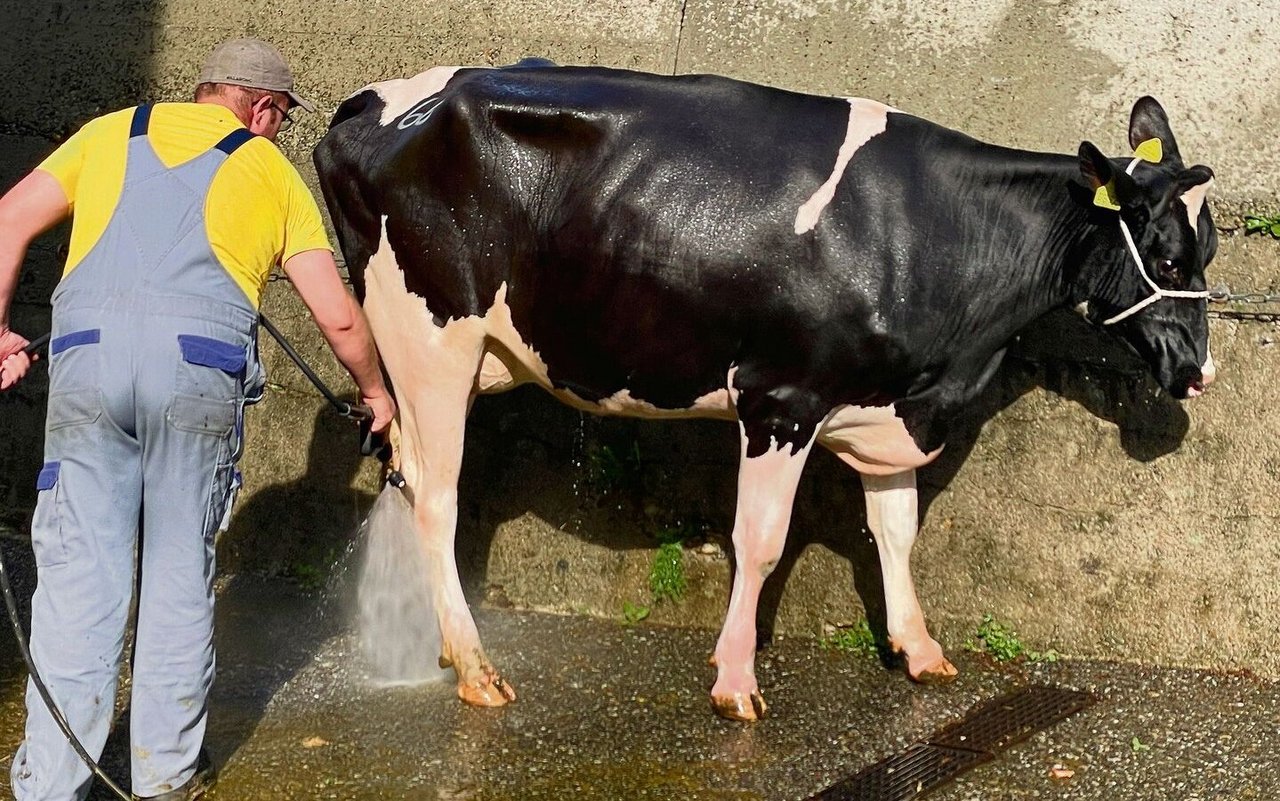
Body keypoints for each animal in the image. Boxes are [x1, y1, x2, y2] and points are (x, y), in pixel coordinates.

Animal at [314, 65, 1213, 721]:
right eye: (1168, 256)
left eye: (1206, 249)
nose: (1200, 371)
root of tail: (374, 100)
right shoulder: (781, 400)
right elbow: (762, 542)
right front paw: (736, 680)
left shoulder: (889, 404)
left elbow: (896, 531)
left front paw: (920, 650)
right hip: (430, 340)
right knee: (437, 498)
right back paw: (476, 669)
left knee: (413, 477)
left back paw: (440, 645)